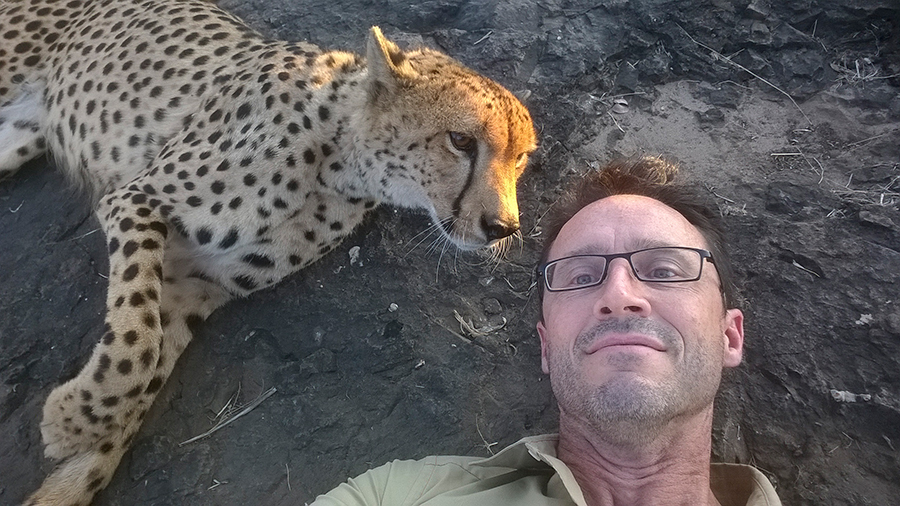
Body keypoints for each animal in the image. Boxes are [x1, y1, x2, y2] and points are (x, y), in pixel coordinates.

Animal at [0, 0, 537, 503]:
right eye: (460, 140)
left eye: (521, 157)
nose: (503, 227)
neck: (338, 160)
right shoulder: (135, 200)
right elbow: (137, 339)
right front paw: (72, 420)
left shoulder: (192, 284)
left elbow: (142, 370)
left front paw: (75, 445)